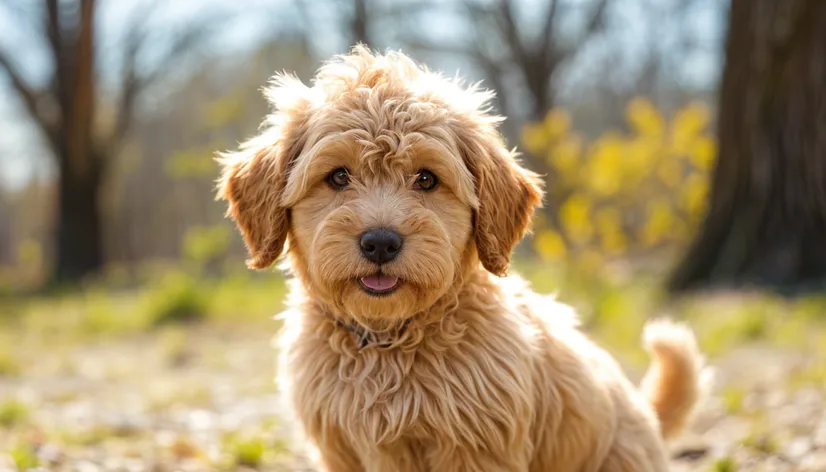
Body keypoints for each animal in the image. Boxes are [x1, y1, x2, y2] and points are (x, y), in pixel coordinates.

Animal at [219, 45, 708, 472]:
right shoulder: (340, 450)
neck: (388, 343)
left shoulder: (475, 449)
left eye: (426, 179)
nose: (380, 242)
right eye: (338, 176)